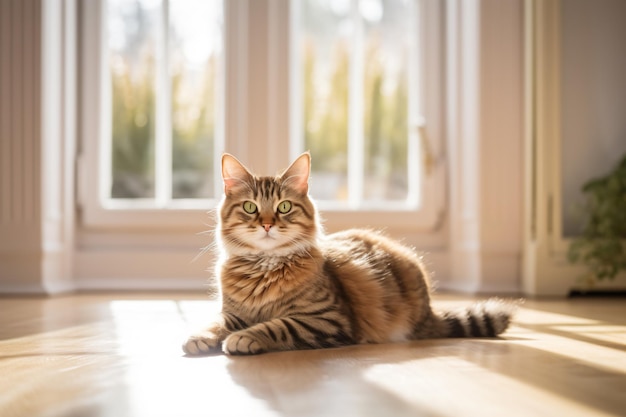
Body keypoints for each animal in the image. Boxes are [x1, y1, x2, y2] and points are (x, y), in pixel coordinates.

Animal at [183, 153, 516, 354]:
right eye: (251, 207)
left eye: (284, 207)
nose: (266, 224)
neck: (264, 269)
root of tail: (429, 312)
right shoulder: (234, 313)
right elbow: (216, 323)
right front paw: (200, 337)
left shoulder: (326, 318)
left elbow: (277, 326)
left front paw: (245, 338)